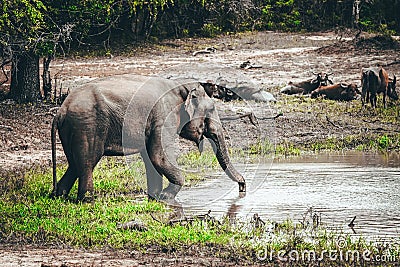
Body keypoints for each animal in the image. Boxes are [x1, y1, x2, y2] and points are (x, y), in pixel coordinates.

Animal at [50, 74, 244, 203]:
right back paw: (87, 201)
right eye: (211, 110)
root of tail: (60, 111)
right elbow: (159, 156)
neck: (180, 87)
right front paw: (166, 196)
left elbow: (151, 157)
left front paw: (156, 197)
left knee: (74, 164)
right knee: (87, 163)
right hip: (87, 126)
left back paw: (59, 196)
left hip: (73, 129)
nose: (242, 187)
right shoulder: (163, 117)